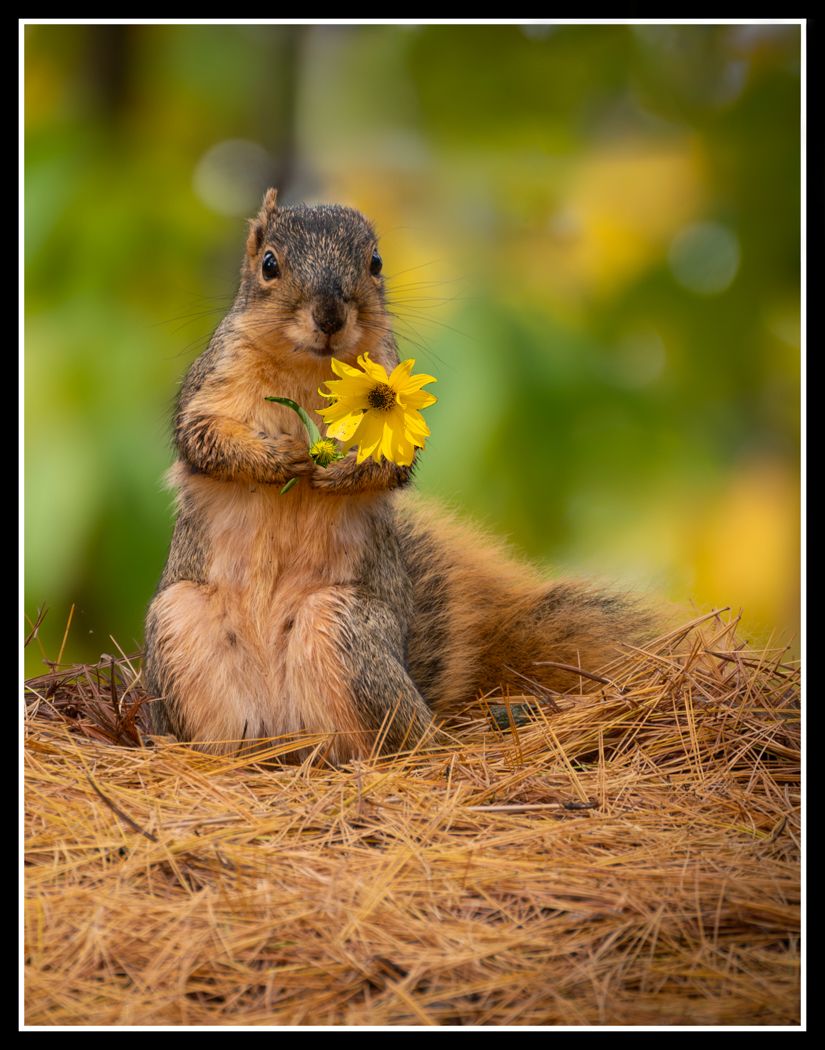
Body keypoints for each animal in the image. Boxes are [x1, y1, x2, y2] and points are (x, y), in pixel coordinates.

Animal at [144, 188, 650, 764]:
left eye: (376, 263)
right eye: (269, 264)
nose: (330, 316)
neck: (309, 368)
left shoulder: (394, 396)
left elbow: (392, 465)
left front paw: (339, 472)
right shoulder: (212, 386)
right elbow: (204, 440)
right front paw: (280, 458)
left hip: (343, 629)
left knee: (383, 745)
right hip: (182, 627)